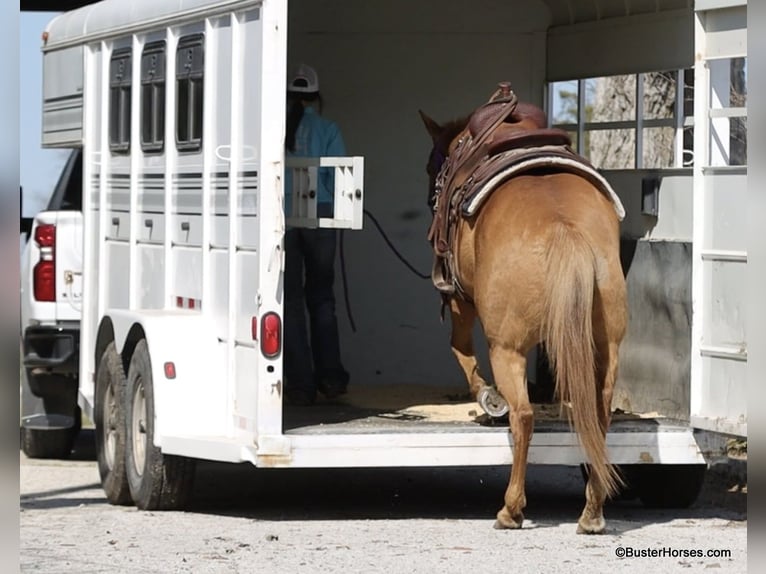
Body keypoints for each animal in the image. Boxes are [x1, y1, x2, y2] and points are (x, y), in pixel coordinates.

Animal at [419, 94, 628, 534]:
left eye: (432, 165)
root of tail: (565, 229)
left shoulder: (460, 300)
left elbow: (459, 348)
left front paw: (485, 397)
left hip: (507, 349)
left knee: (524, 416)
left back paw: (510, 508)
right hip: (607, 349)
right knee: (598, 417)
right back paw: (592, 511)